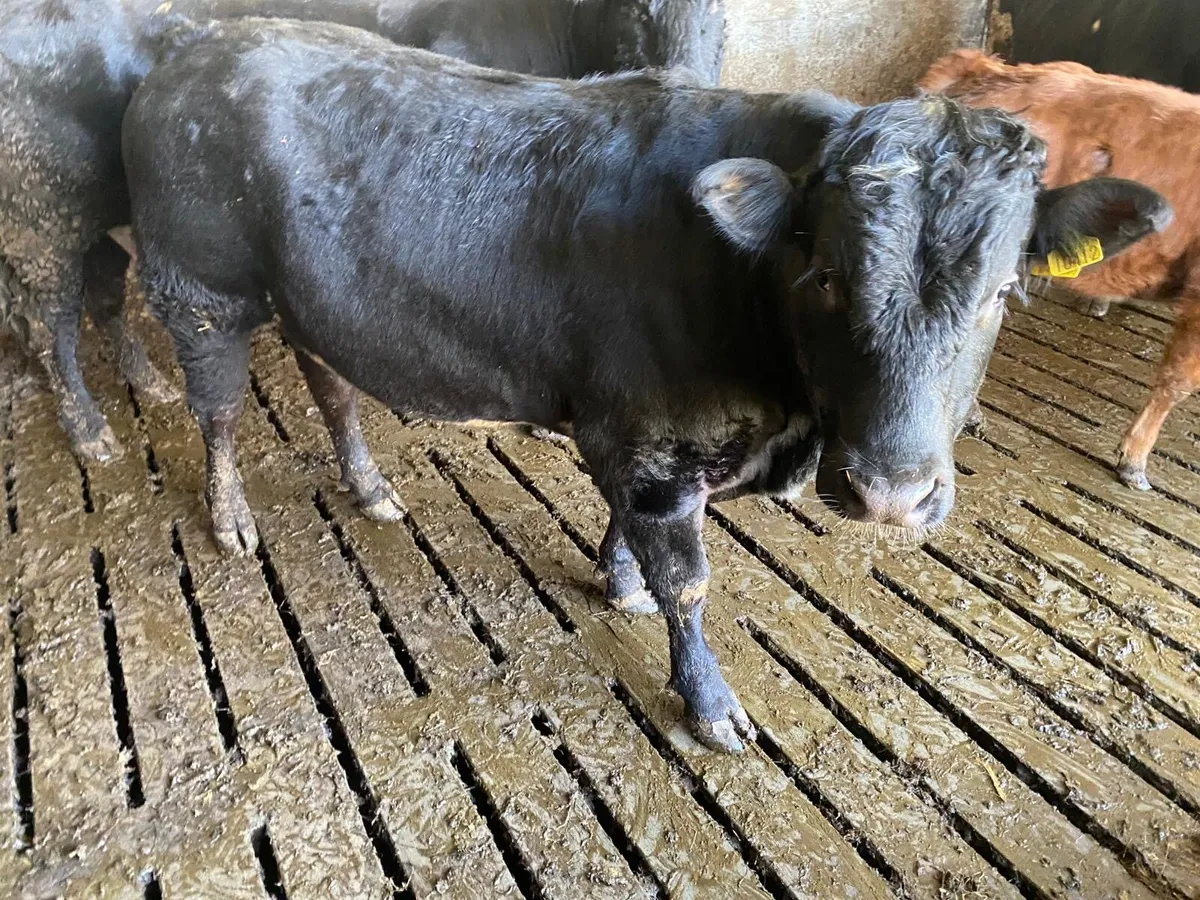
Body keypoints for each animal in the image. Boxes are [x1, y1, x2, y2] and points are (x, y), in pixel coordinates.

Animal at [0, 0, 724, 463]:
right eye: (638, 9)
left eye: (722, 13)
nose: (691, 81)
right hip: (43, 219)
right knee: (53, 320)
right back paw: (89, 430)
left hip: (94, 216)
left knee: (99, 294)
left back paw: (145, 381)